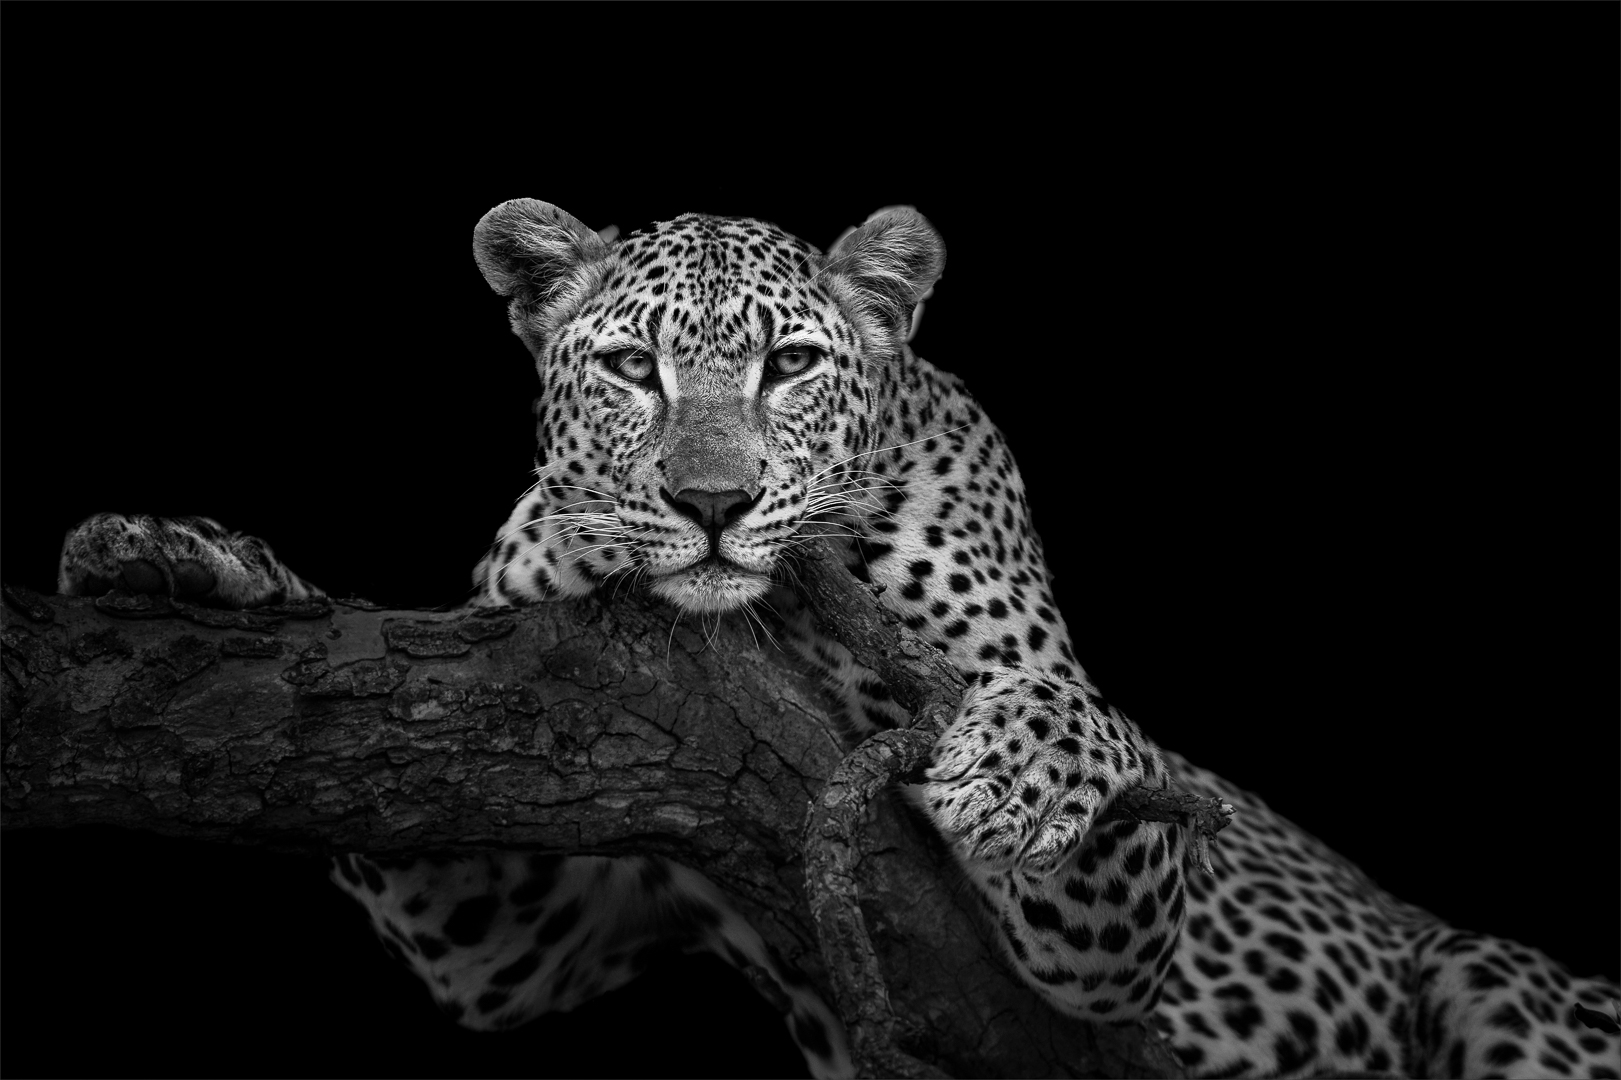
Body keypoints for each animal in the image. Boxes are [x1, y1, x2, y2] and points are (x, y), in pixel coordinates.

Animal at [57, 199, 1621, 1079]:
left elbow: (1087, 728)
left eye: (792, 364)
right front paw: (188, 562)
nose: (708, 502)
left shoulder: (1119, 956)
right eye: (631, 368)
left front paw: (1033, 759)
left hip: (1489, 973)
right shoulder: (523, 927)